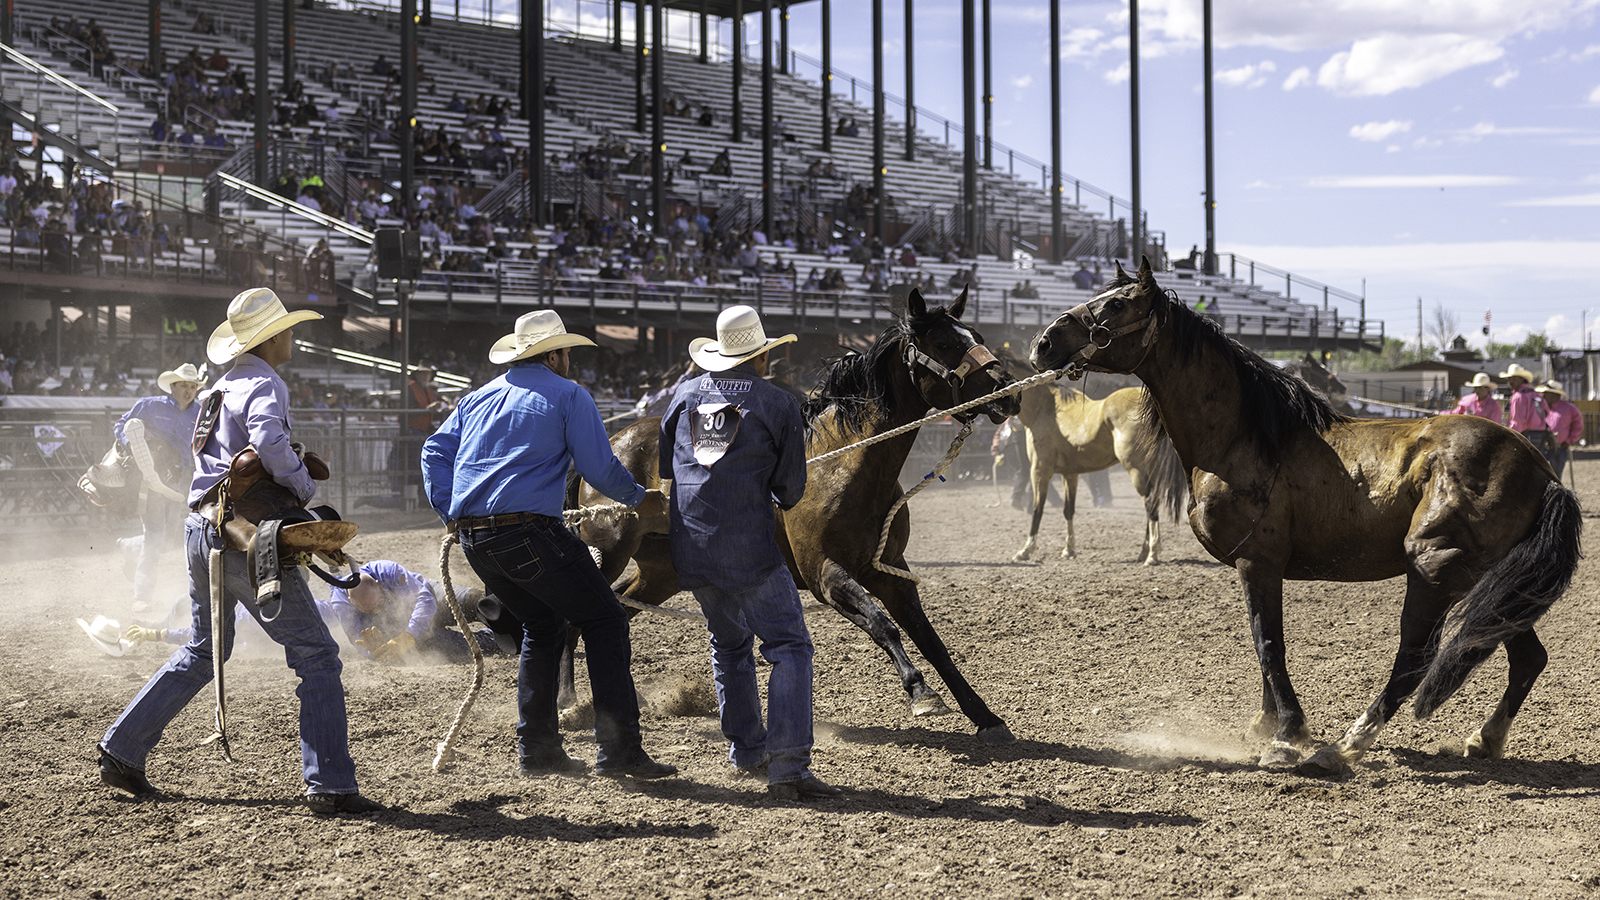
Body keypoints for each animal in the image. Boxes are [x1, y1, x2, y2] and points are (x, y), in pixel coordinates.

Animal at [582, 288, 1017, 743]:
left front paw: (984, 714)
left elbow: (931, 641)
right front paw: (922, 692)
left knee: (621, 605)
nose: (1008, 391)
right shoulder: (826, 576)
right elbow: (883, 625)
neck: (841, 464)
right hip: (610, 549)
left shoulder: (890, 571)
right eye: (945, 343)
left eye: (978, 336)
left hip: (660, 572)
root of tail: (615, 436)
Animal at [998, 358, 1190, 560]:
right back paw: (1144, 551)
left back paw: (1153, 552)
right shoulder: (1069, 474)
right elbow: (1068, 510)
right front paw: (1069, 549)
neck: (1046, 409)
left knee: (1150, 503)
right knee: (1151, 504)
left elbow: (1037, 510)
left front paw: (1026, 550)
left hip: (1137, 469)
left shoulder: (1039, 471)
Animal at [1030, 257, 1580, 771]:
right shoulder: (1256, 568)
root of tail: (1540, 468)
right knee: (1524, 656)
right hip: (1492, 580)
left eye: (1116, 305)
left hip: (1434, 569)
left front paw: (1288, 735)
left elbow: (1269, 643)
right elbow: (1262, 643)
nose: (1043, 342)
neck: (1245, 437)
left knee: (1414, 658)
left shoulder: (1259, 562)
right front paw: (1265, 723)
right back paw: (1484, 739)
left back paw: (1347, 745)